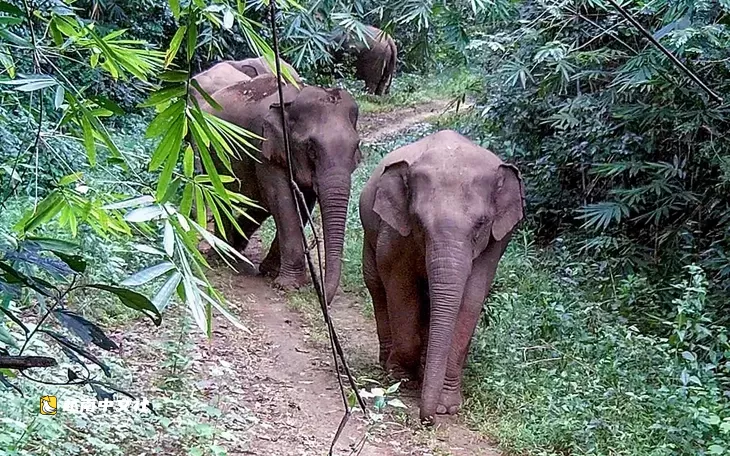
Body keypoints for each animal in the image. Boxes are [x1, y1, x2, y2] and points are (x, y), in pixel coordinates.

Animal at [197, 73, 360, 303]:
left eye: (356, 146)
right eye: (311, 149)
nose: (320, 296)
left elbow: (303, 204)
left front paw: (270, 272)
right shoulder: (265, 148)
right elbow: (282, 201)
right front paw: (288, 286)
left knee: (259, 205)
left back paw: (236, 249)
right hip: (207, 149)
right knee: (221, 196)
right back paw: (222, 257)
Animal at [358, 130, 525, 422]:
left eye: (481, 224)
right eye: (418, 221)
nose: (427, 420)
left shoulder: (496, 243)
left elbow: (471, 298)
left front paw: (446, 406)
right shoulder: (394, 232)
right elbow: (399, 286)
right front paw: (403, 378)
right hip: (370, 234)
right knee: (377, 286)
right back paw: (390, 365)